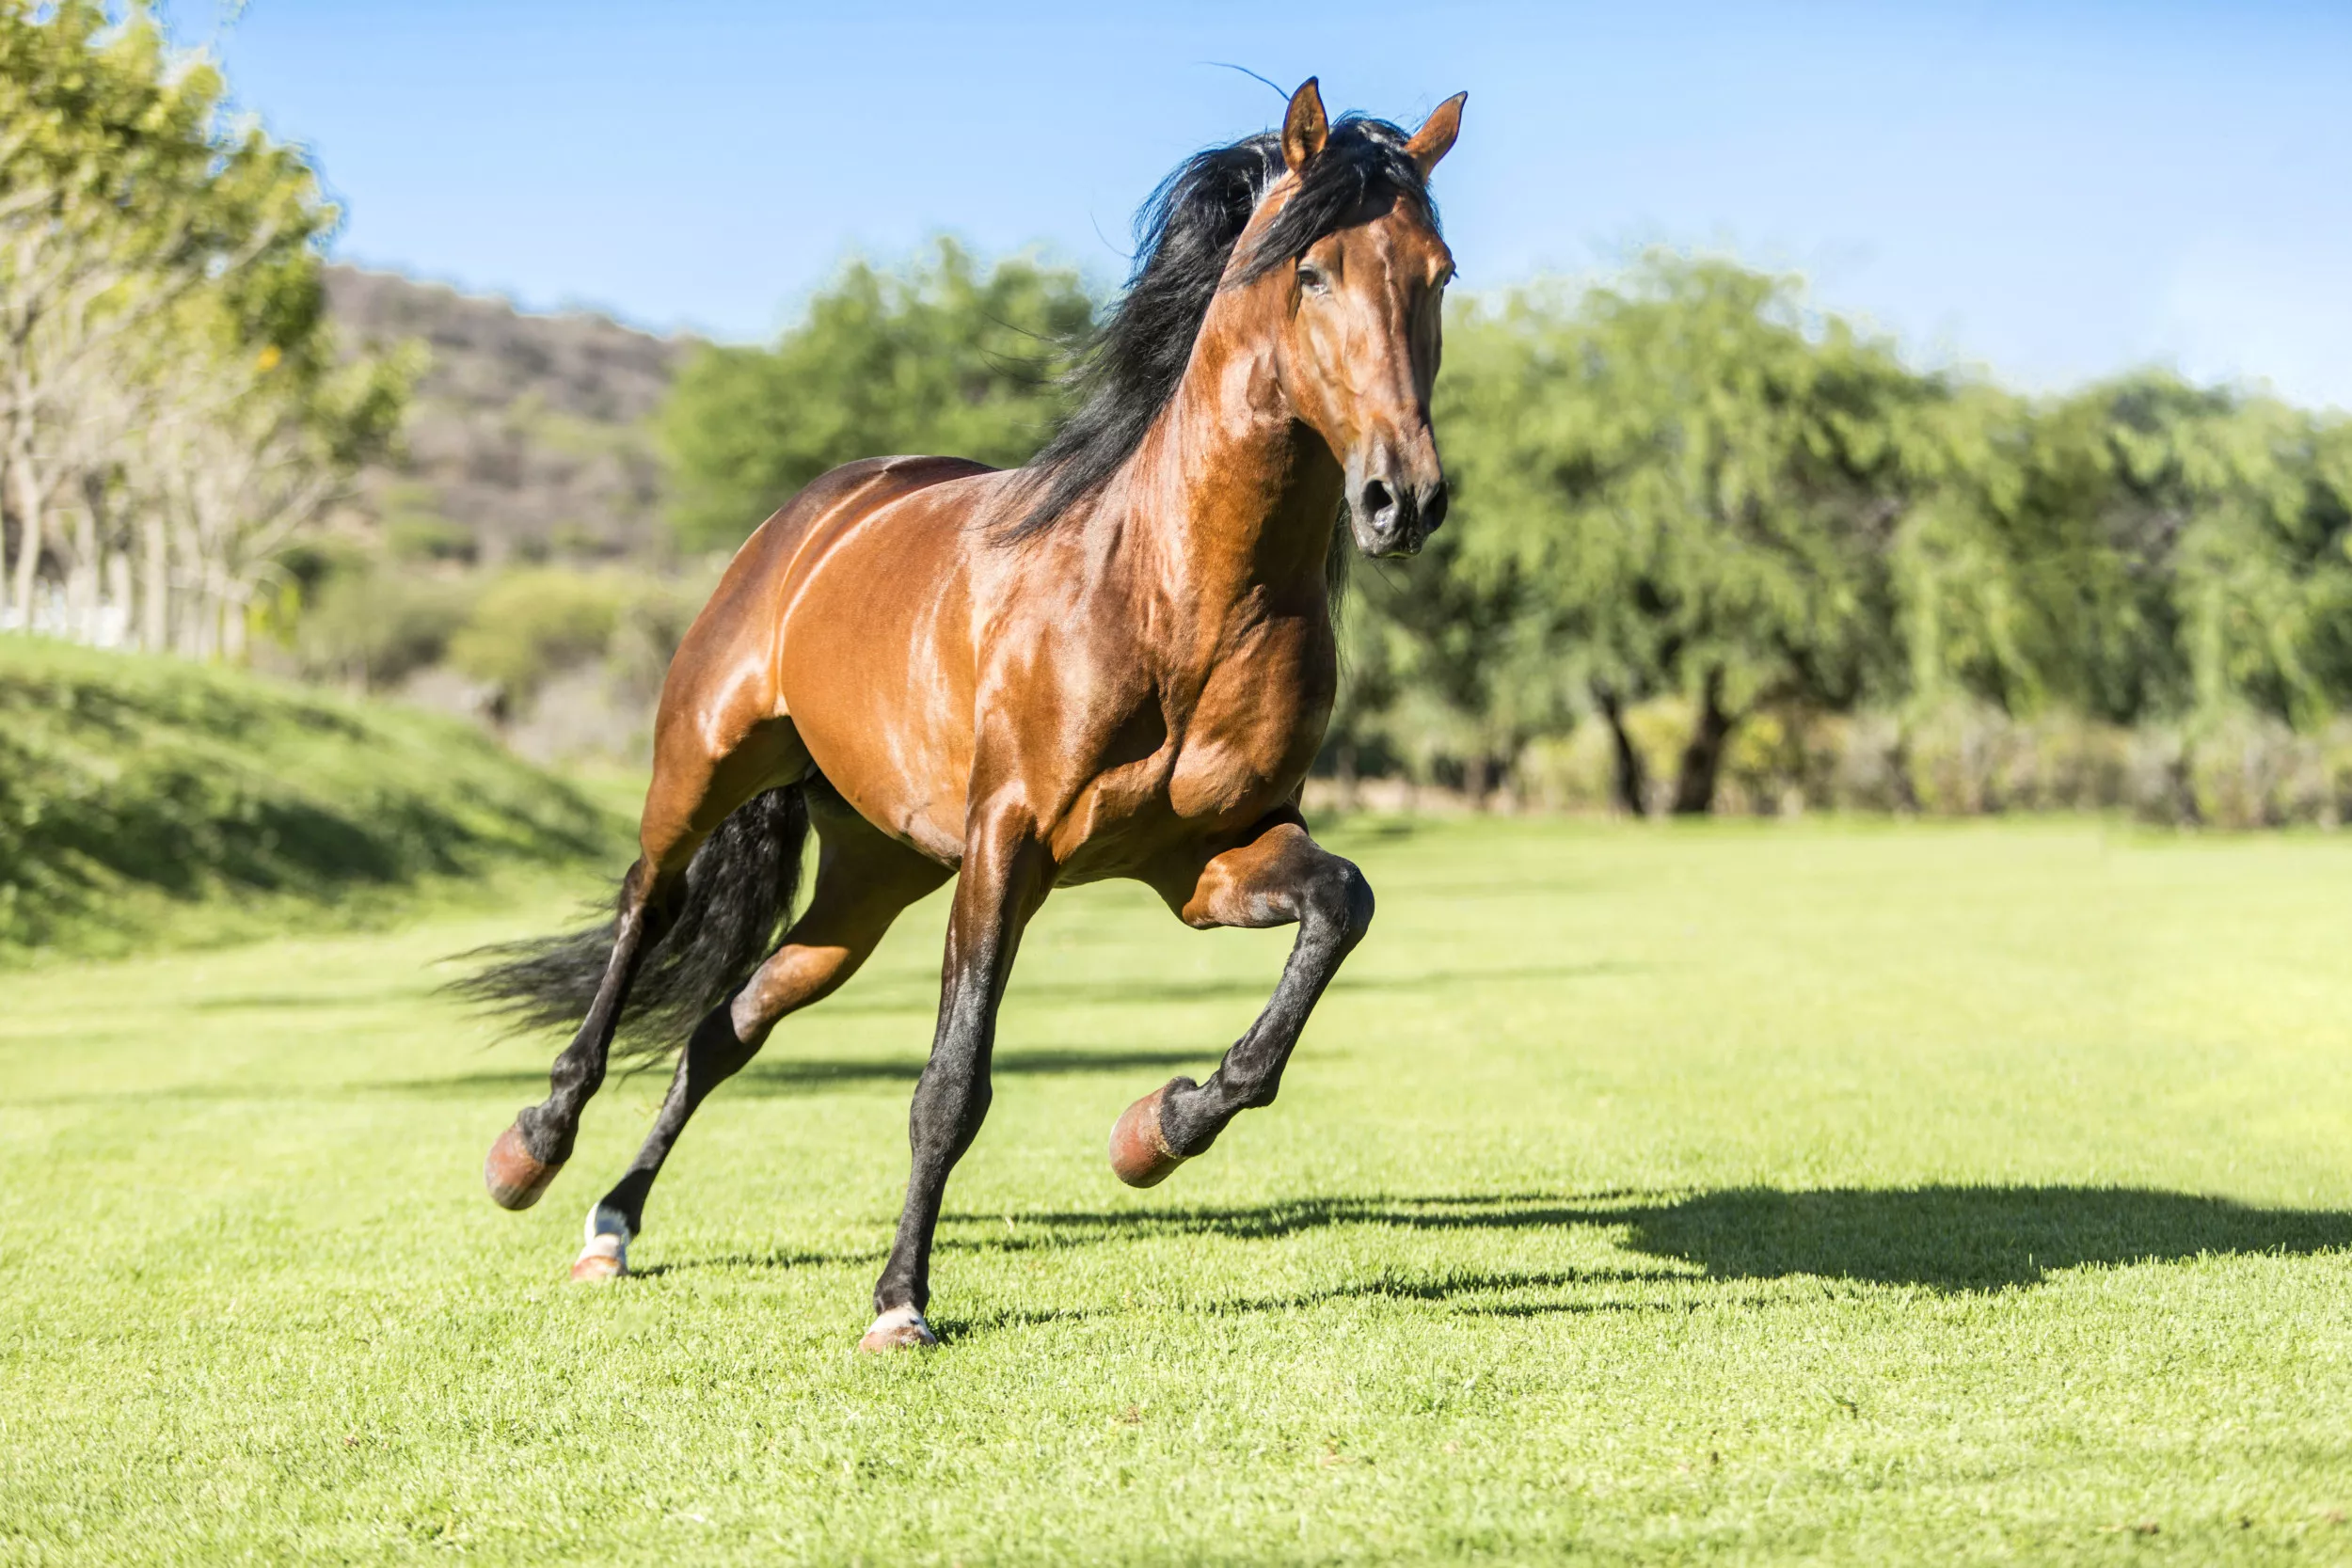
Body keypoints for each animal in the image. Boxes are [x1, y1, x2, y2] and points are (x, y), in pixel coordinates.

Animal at [464, 78, 1465, 1352]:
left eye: (1436, 273)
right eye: (1315, 271)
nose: (1403, 498)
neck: (1169, 592)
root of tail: (822, 507)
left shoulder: (1207, 858)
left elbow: (1339, 907)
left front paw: (1157, 1129)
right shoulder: (1009, 843)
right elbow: (951, 1084)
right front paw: (900, 1301)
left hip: (867, 879)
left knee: (725, 1026)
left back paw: (612, 1226)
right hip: (702, 767)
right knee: (648, 910)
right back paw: (531, 1152)